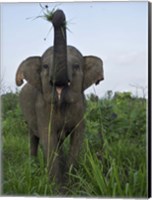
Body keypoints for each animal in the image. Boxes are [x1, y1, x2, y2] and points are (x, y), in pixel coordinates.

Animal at [15, 9, 104, 184]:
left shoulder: (81, 107)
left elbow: (77, 138)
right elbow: (48, 139)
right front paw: (55, 186)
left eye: (76, 66)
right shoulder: (41, 107)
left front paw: (71, 183)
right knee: (33, 138)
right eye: (45, 66)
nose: (57, 14)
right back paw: (33, 166)